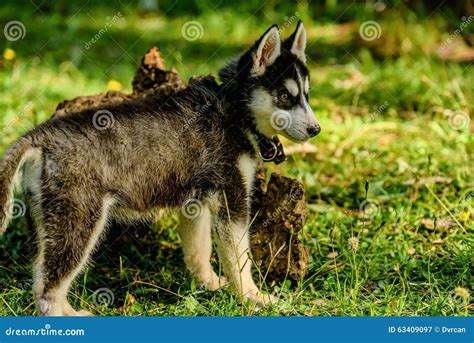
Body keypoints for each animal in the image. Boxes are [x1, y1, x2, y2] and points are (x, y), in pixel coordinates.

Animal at [0, 21, 318, 316]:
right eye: (285, 97)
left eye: (306, 95)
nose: (316, 129)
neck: (234, 112)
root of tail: (41, 135)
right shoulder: (231, 197)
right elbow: (239, 257)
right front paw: (251, 297)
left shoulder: (196, 201)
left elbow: (199, 250)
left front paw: (210, 285)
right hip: (78, 221)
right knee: (48, 290)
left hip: (45, 221)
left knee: (41, 275)